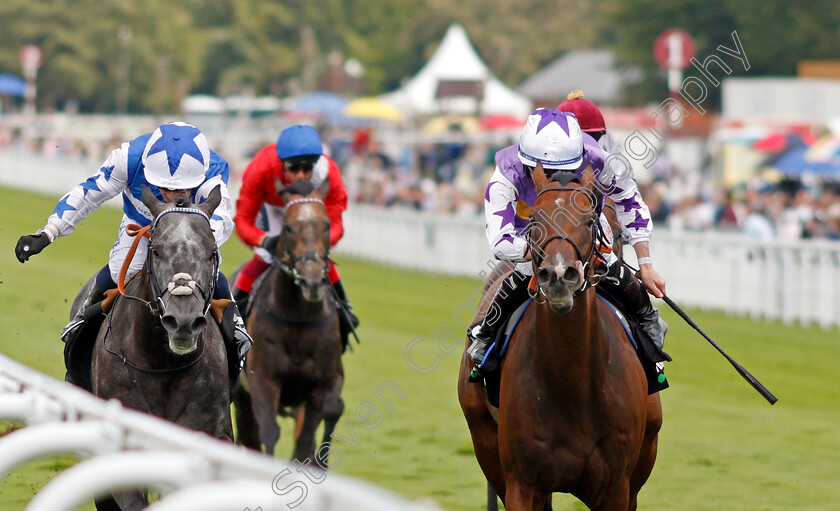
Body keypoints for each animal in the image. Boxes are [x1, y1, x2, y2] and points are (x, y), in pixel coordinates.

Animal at [230, 181, 344, 464]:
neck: (298, 318)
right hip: (242, 395)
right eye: (289, 228)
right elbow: (269, 432)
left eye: (327, 225)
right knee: (249, 434)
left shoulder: (319, 385)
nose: (311, 281)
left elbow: (308, 439)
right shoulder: (264, 380)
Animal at [460, 165, 664, 511]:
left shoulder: (616, 488)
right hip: (484, 439)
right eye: (534, 219)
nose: (558, 275)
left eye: (590, 220)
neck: (572, 388)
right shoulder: (521, 484)